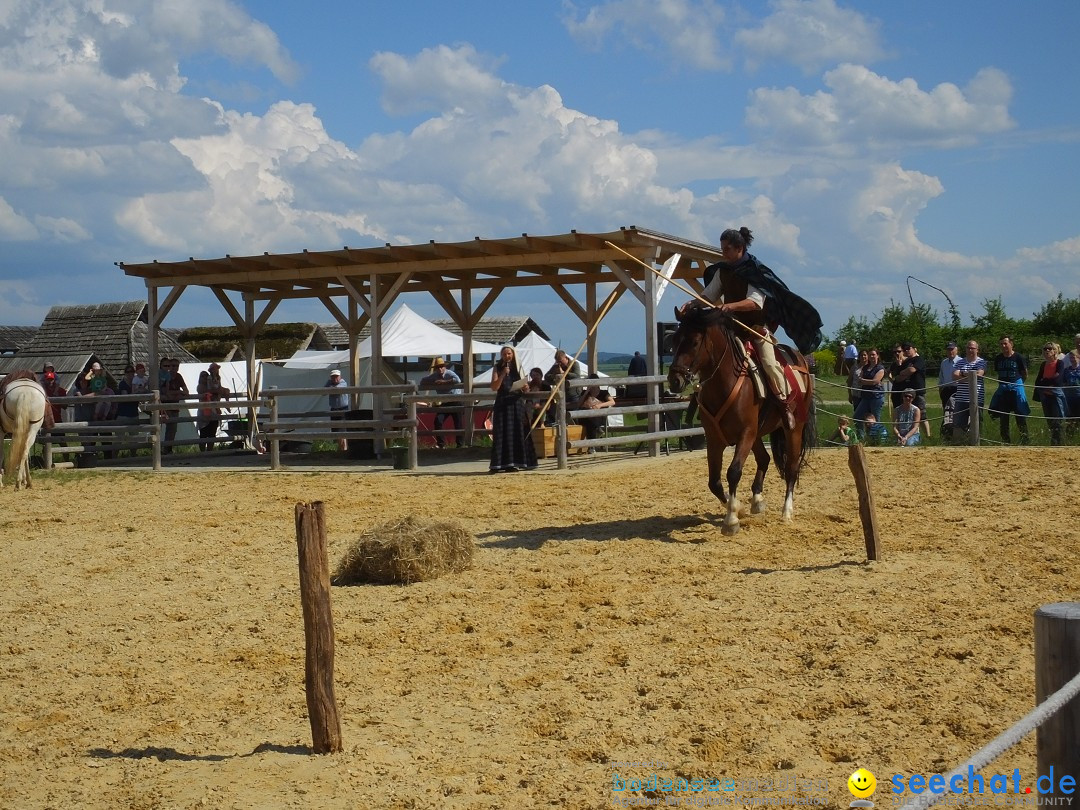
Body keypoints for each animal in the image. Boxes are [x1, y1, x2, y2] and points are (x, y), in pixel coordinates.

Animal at [665, 306, 812, 535]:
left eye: (694, 342)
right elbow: (714, 482)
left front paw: (731, 520)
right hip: (758, 434)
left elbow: (733, 472)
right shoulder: (715, 439)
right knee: (764, 459)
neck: (725, 382)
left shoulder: (745, 434)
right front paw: (738, 508)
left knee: (791, 468)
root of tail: (801, 359)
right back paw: (757, 501)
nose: (675, 380)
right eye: (674, 340)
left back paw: (787, 511)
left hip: (793, 429)